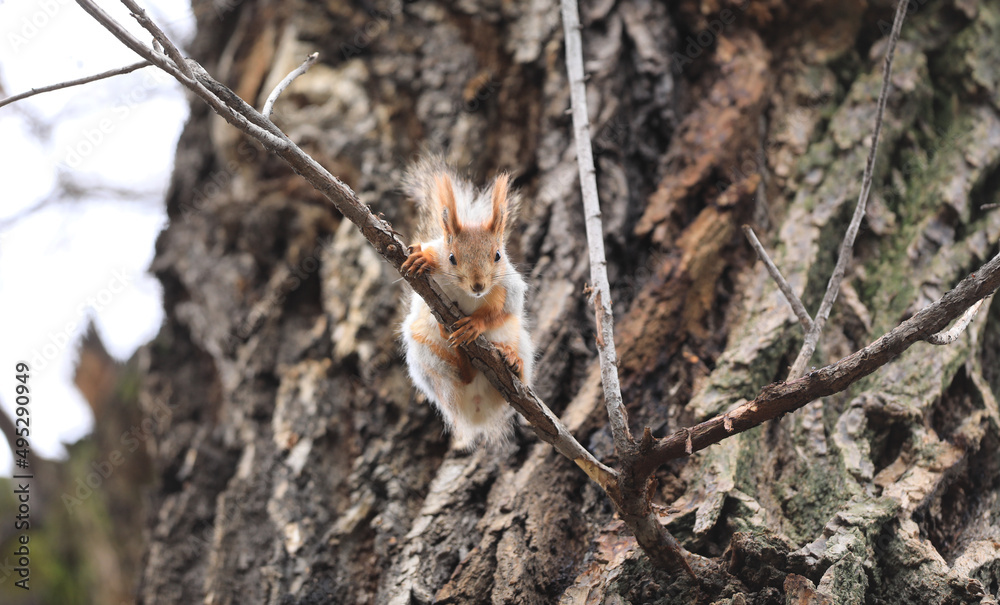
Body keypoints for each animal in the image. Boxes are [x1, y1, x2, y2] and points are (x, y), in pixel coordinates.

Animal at [400, 158, 536, 446]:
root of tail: (475, 414)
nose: (478, 286)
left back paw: (512, 362)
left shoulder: (509, 290)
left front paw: (475, 325)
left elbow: (502, 312)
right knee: (463, 378)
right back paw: (460, 355)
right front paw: (423, 259)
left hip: (521, 341)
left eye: (498, 255)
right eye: (452, 257)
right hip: (425, 355)